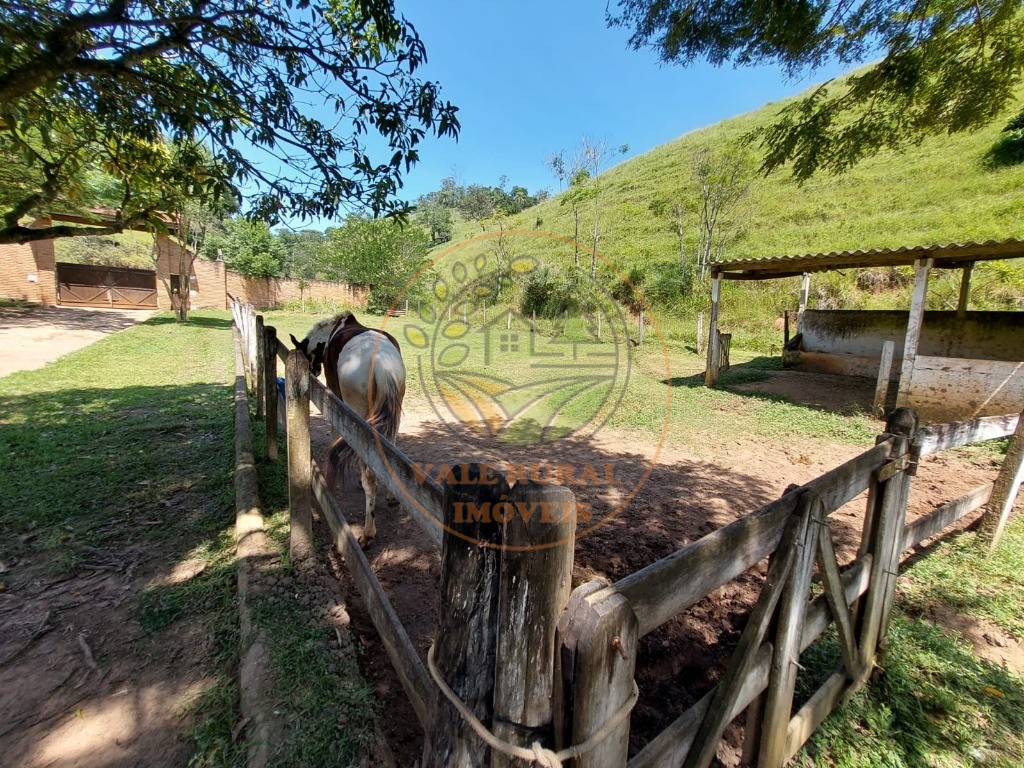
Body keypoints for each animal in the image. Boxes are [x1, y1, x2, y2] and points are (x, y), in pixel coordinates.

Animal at [290, 313, 405, 548]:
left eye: (306, 353)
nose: (313, 370)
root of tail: (382, 364)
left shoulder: (335, 393)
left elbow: (337, 429)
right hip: (391, 420)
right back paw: (391, 496)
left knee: (370, 475)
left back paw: (368, 532)